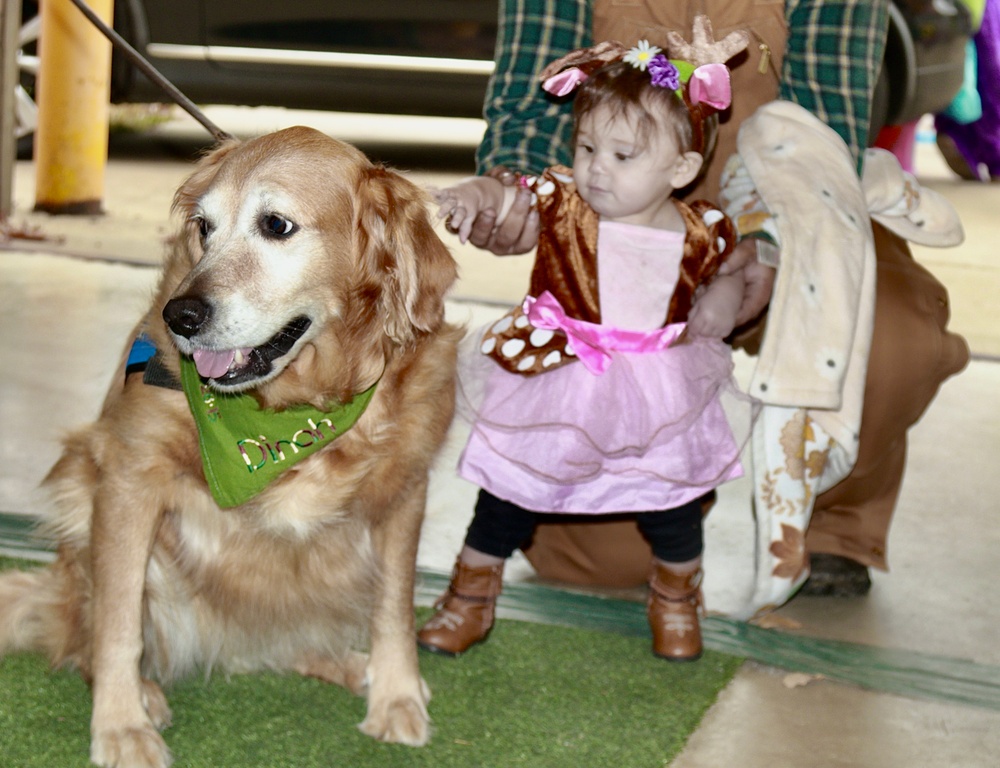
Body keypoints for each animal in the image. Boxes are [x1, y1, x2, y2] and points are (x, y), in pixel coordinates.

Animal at [0, 123, 458, 764]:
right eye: (203, 227)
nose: (181, 317)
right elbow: (117, 624)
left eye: (276, 225)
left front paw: (397, 695)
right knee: (85, 633)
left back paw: (348, 664)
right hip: (88, 506)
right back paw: (146, 693)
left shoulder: (405, 486)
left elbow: (393, 606)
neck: (293, 408)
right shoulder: (125, 477)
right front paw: (119, 725)